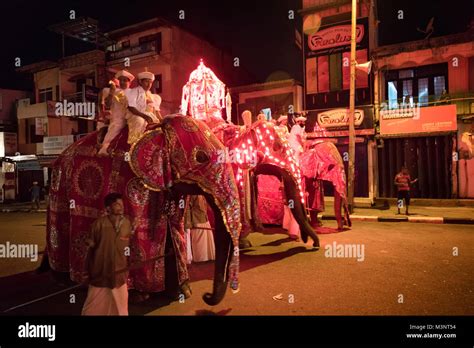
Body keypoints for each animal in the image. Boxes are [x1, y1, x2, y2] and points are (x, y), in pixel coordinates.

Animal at [46, 114, 241, 304]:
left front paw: (182, 292)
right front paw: (140, 295)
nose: (206, 296)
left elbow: (173, 227)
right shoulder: (132, 187)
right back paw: (63, 280)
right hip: (59, 191)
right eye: (201, 157)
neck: (158, 128)